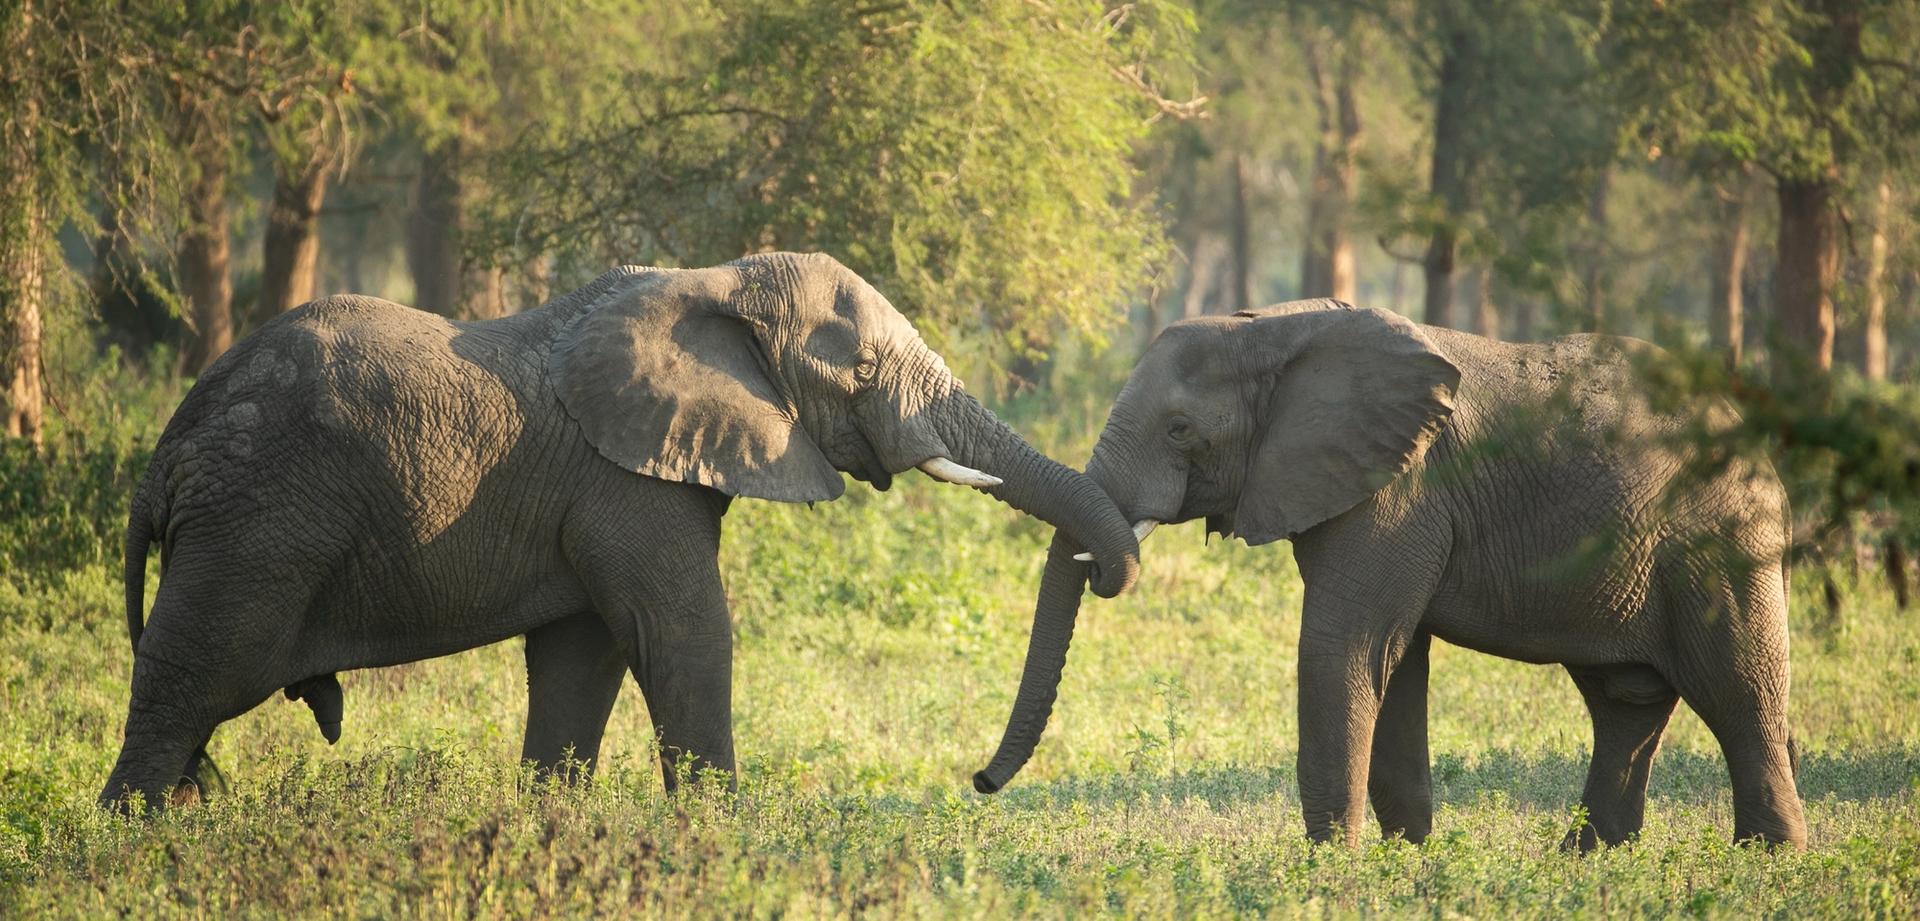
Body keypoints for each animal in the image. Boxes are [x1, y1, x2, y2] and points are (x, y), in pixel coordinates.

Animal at [102, 252, 1142, 811]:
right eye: (861, 369)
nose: (978, 780)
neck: (711, 280)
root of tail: (165, 455)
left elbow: (584, 655)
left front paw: (549, 826)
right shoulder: (625, 481)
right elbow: (684, 632)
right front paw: (725, 834)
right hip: (255, 526)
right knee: (189, 680)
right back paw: (137, 843)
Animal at [972, 298, 1807, 851]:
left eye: (1181, 430)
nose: (980, 782)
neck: (1276, 330)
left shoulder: (1397, 491)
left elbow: (1343, 649)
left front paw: (1328, 870)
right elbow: (1394, 664)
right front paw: (1406, 860)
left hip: (1720, 542)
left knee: (1739, 689)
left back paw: (1764, 861)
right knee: (1625, 702)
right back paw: (1592, 862)